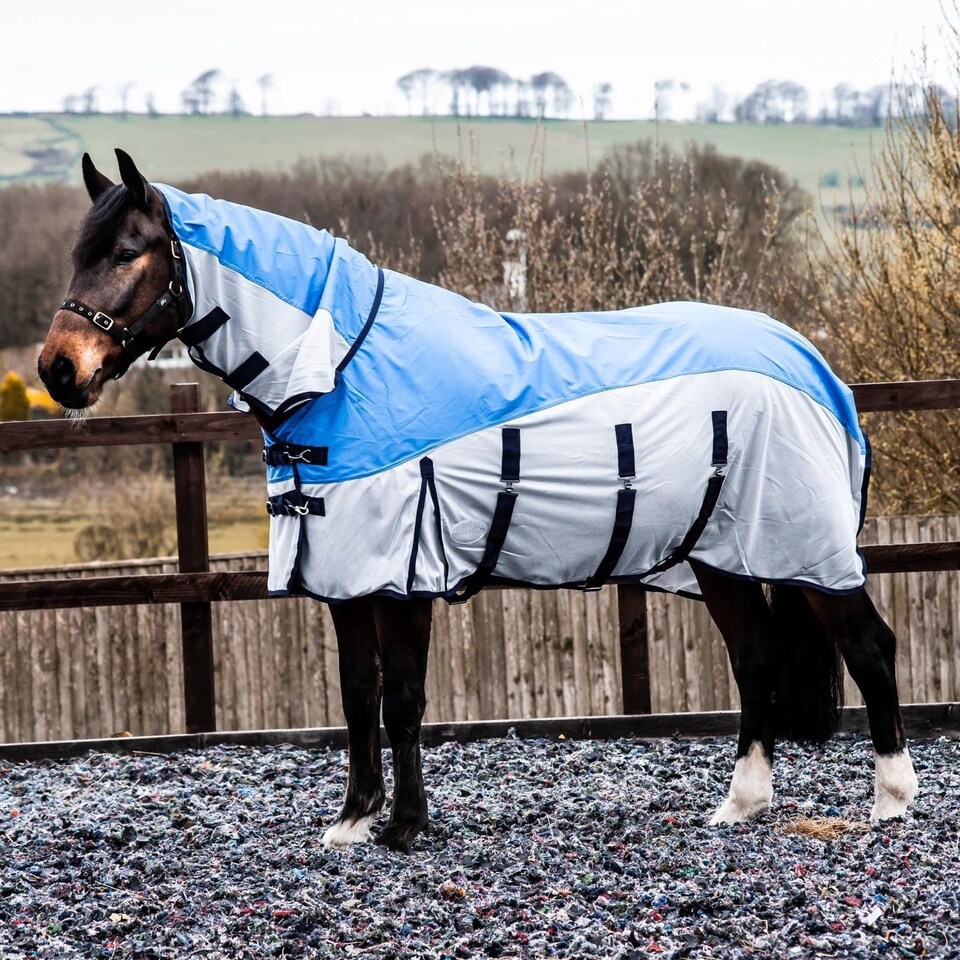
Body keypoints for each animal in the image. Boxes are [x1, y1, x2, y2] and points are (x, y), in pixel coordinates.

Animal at [38, 149, 918, 852]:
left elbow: (401, 697)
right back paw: (741, 804)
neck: (344, 365)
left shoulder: (401, 573)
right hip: (723, 556)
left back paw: (891, 800)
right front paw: (353, 820)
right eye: (77, 254)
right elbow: (356, 693)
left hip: (806, 551)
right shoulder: (342, 575)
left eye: (126, 252)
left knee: (871, 648)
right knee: (757, 659)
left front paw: (405, 826)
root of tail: (810, 361)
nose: (58, 370)